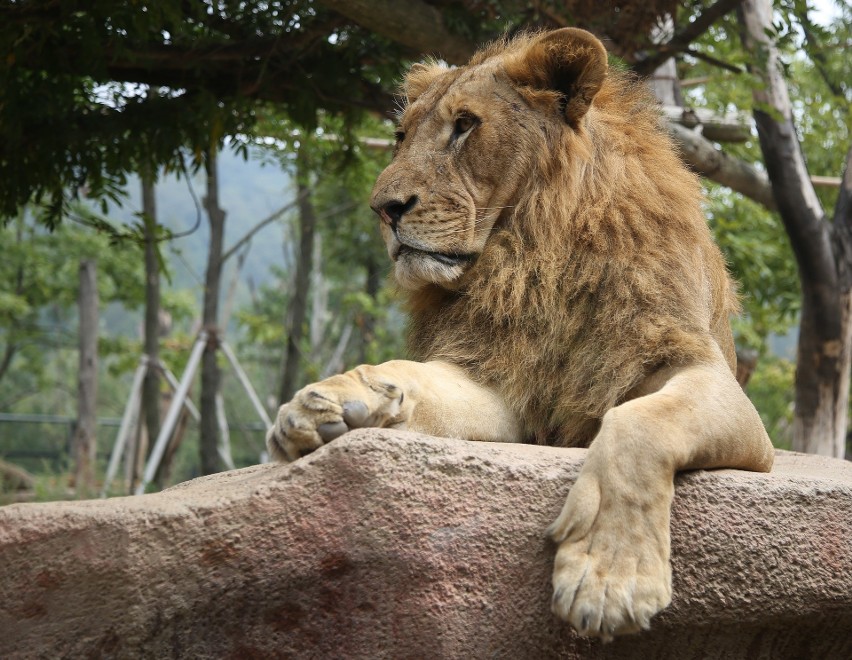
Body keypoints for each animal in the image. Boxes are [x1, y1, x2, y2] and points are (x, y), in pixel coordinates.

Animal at [268, 29, 780, 640]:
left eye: (465, 125)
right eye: (400, 135)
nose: (384, 209)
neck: (533, 253)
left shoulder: (709, 378)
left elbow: (638, 424)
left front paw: (610, 578)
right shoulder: (500, 380)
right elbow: (412, 375)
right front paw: (330, 402)